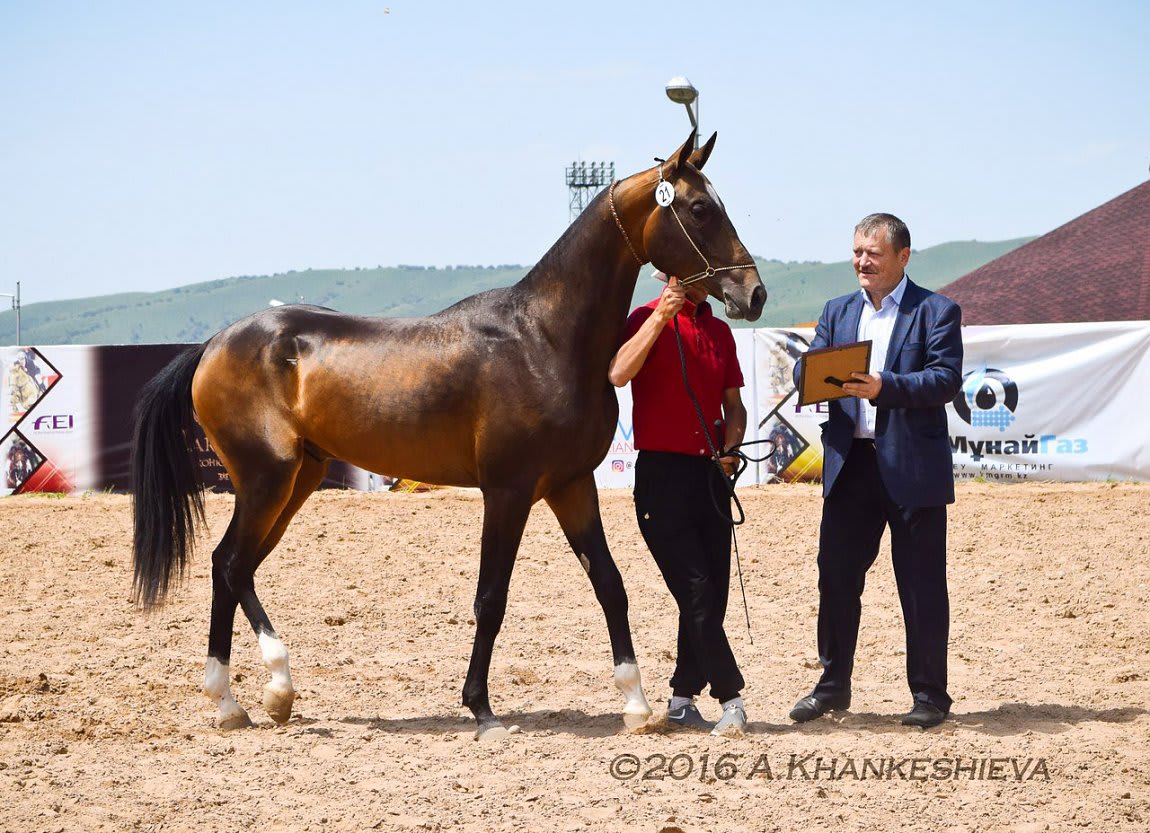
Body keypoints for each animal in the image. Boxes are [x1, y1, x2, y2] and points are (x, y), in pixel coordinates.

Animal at [131, 130, 767, 739]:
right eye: (700, 208)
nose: (753, 293)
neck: (545, 339)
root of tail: (214, 344)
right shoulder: (508, 492)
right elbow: (492, 598)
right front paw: (483, 712)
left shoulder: (571, 485)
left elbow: (610, 585)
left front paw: (636, 706)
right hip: (267, 479)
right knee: (232, 563)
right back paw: (263, 692)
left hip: (297, 481)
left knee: (231, 567)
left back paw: (241, 702)